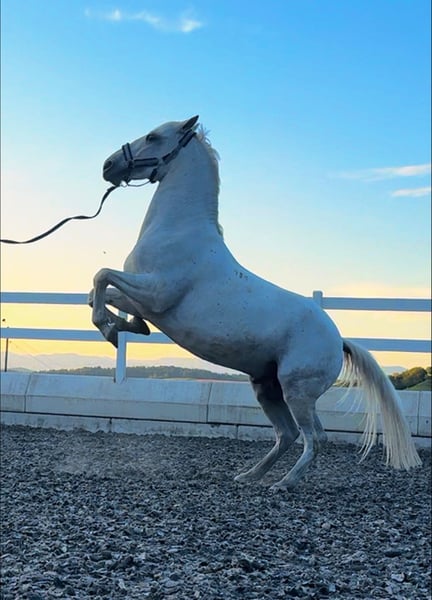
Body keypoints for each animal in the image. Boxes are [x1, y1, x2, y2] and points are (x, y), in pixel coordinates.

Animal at [90, 116, 421, 490]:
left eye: (152, 136)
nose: (108, 165)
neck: (177, 232)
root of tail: (339, 342)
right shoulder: (146, 300)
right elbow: (101, 294)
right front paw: (124, 326)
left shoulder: (157, 292)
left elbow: (101, 276)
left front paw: (110, 330)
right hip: (266, 388)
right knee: (287, 434)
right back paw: (249, 475)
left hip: (297, 392)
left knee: (314, 437)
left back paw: (284, 483)